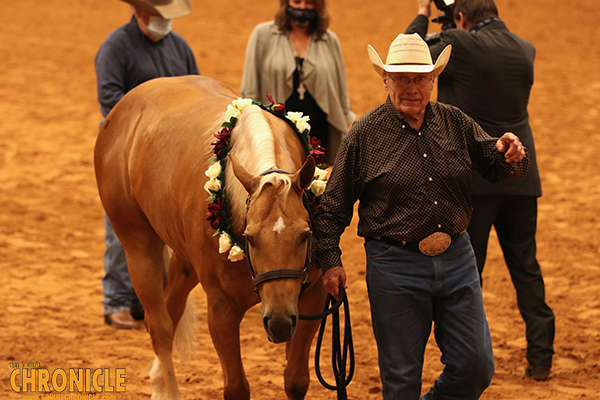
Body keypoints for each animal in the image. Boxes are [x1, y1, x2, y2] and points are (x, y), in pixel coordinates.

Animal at [95, 76, 328, 400]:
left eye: (306, 235)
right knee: (160, 327)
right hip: (138, 246)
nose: (280, 323)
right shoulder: (221, 310)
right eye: (250, 238)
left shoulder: (313, 299)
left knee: (172, 310)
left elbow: (295, 381)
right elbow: (236, 388)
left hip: (184, 261)